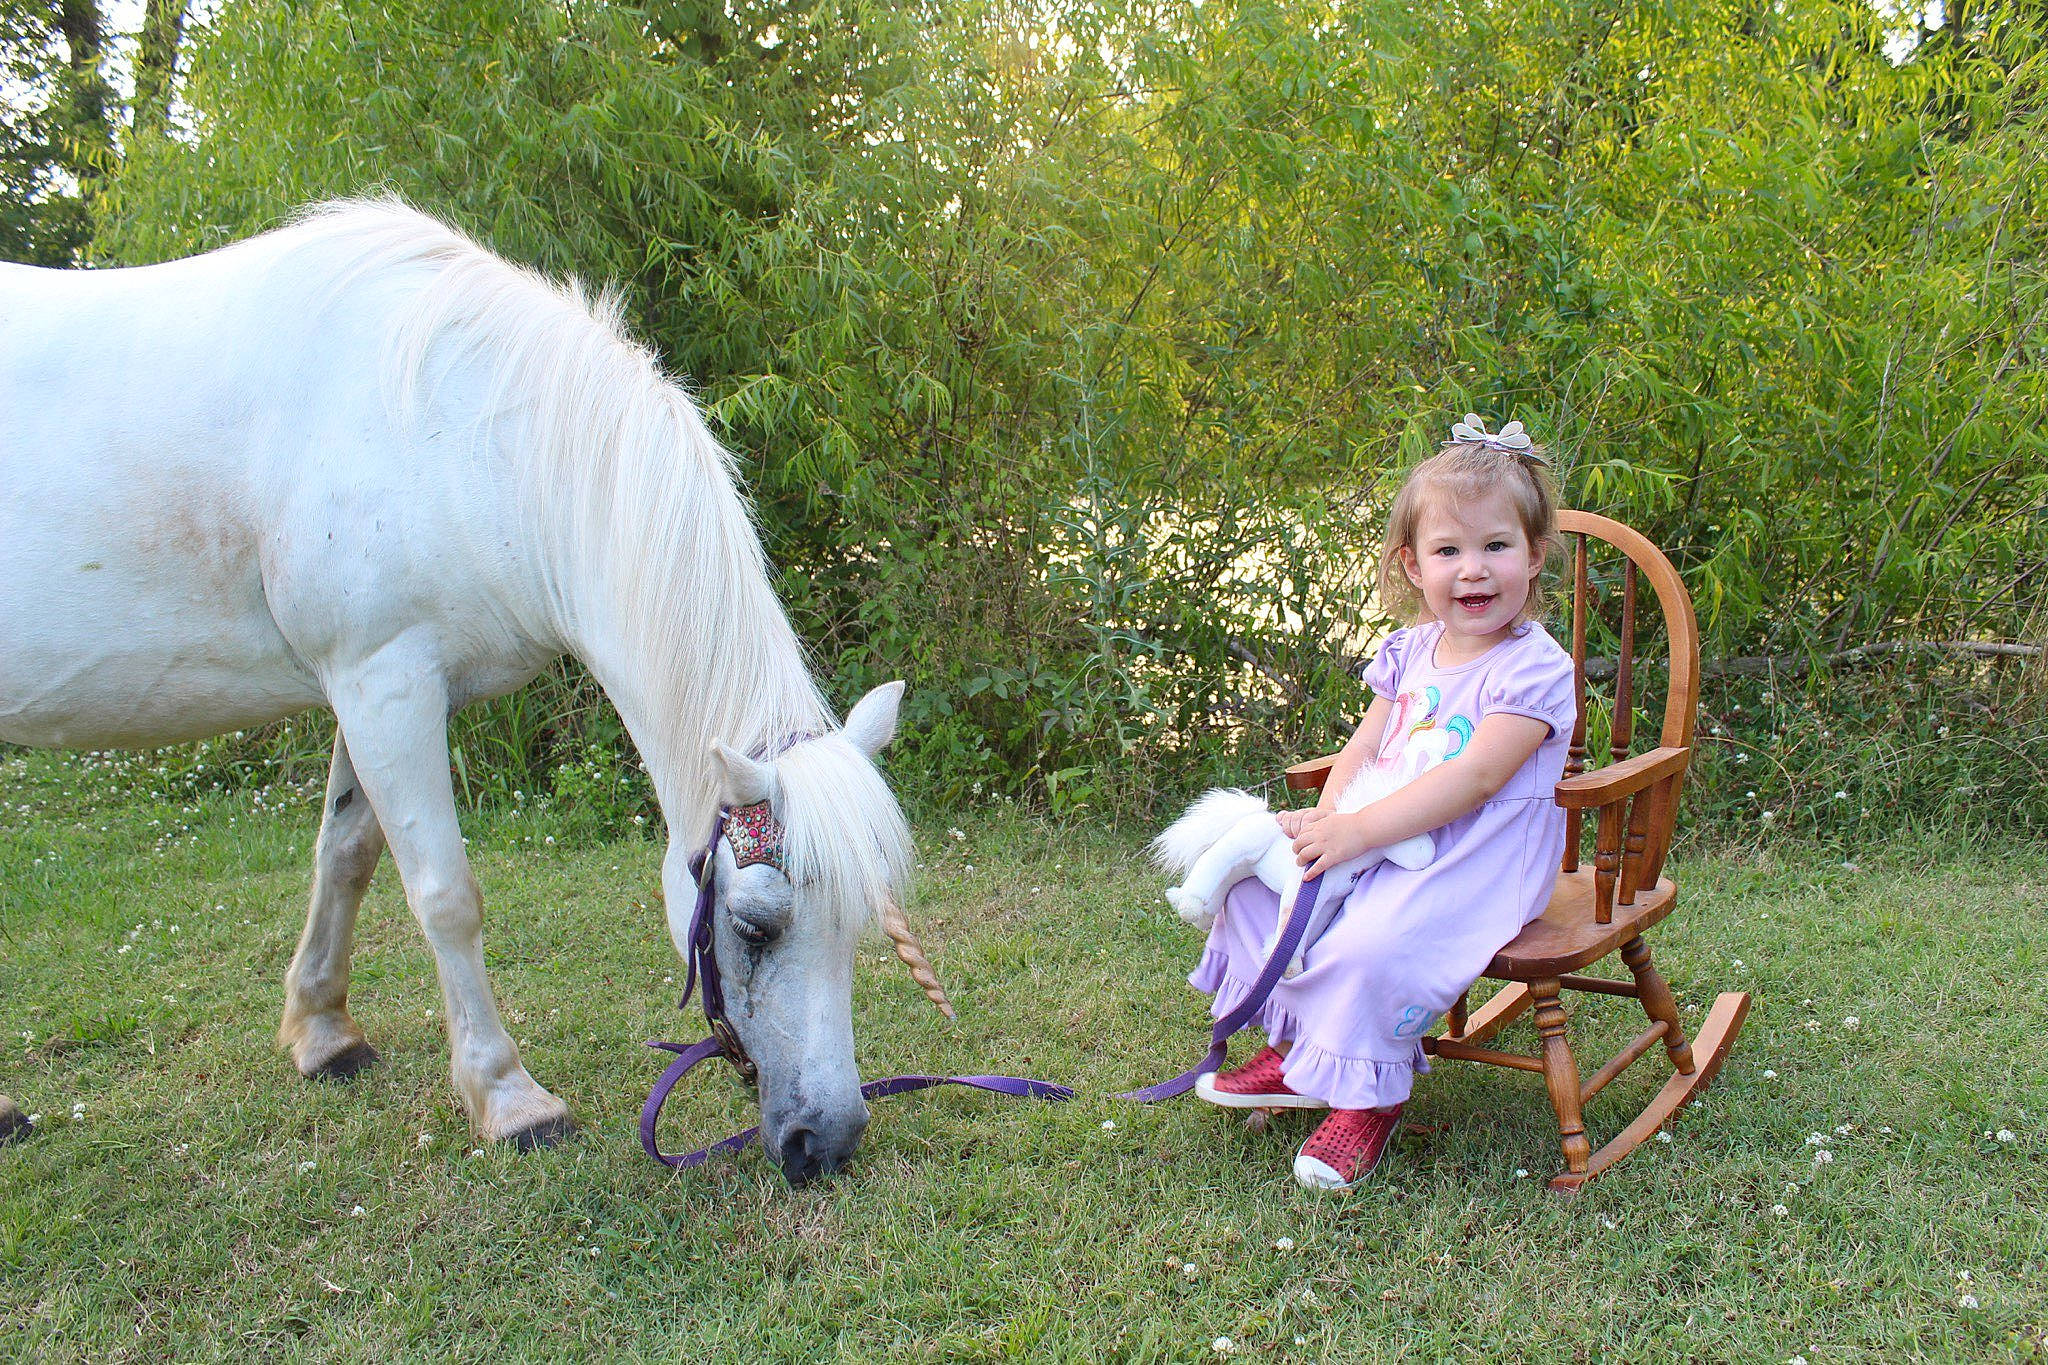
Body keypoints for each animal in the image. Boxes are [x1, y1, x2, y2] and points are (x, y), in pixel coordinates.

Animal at [0, 198, 948, 1184]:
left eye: (860, 920)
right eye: (755, 926)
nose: (828, 1139)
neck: (458, 435)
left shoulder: (375, 690)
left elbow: (346, 854)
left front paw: (323, 1034)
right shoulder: (383, 680)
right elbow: (445, 896)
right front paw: (509, 1098)